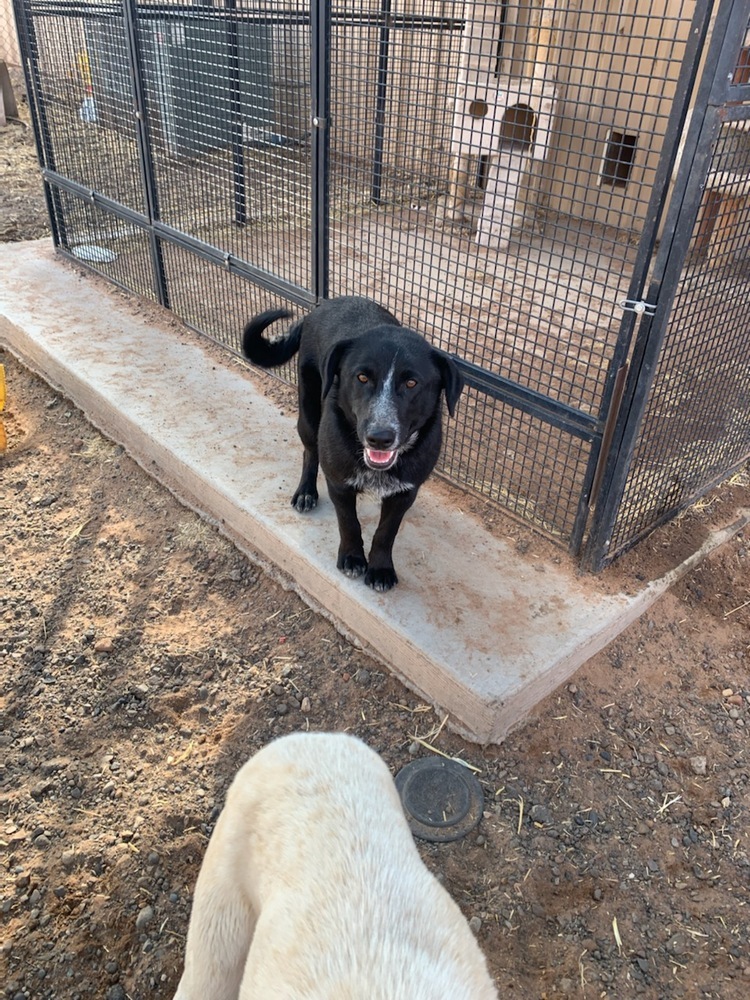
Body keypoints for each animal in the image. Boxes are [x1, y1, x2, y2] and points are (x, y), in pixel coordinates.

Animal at [242, 292, 464, 588]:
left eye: (412, 383)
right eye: (361, 377)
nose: (379, 438)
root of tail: (322, 305)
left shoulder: (405, 491)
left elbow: (386, 531)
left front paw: (380, 568)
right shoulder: (339, 483)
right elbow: (349, 522)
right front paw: (351, 558)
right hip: (309, 413)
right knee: (309, 451)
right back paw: (305, 492)